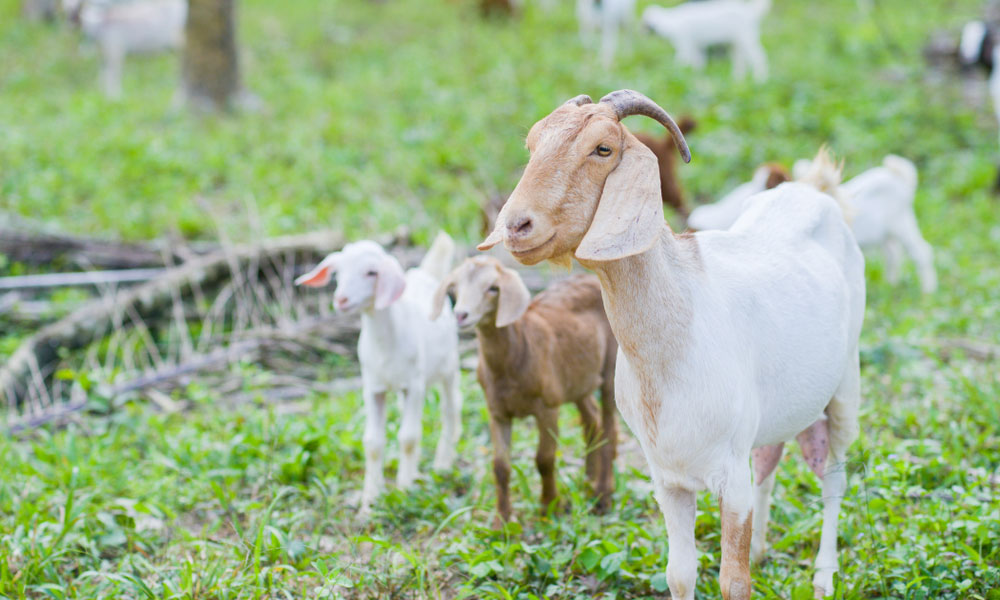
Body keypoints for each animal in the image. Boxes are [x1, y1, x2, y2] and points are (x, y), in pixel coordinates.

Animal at [296, 233, 463, 516]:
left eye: (371, 272)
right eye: (338, 273)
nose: (341, 299)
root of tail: (424, 275)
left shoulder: (414, 385)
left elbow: (408, 437)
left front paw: (404, 489)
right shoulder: (373, 388)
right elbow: (373, 442)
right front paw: (370, 497)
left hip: (449, 367)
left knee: (450, 410)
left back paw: (442, 464)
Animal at [430, 258, 617, 522]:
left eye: (493, 288)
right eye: (455, 288)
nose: (461, 314)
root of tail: (591, 278)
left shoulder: (548, 406)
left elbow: (544, 459)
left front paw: (549, 507)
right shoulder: (497, 411)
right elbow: (500, 466)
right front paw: (501, 520)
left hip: (612, 365)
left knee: (610, 425)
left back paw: (603, 496)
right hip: (578, 379)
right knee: (592, 419)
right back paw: (588, 482)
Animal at [479, 90, 864, 599]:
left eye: (603, 149)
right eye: (533, 143)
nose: (517, 226)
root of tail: (816, 191)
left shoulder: (730, 479)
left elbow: (733, 581)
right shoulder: (668, 478)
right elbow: (679, 573)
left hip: (846, 387)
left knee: (834, 477)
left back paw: (823, 576)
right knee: (770, 460)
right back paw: (764, 548)